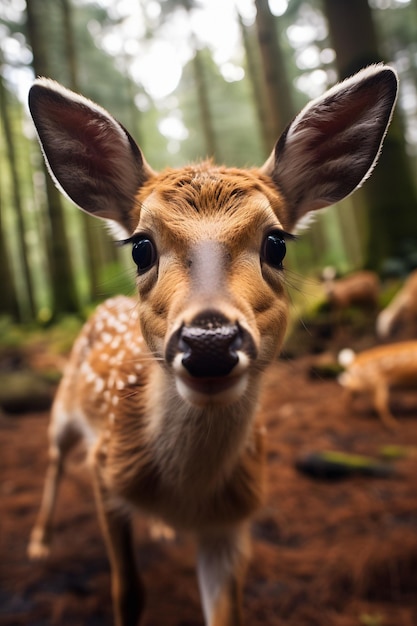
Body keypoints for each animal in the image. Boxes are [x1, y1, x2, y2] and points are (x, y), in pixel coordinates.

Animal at [26, 64, 396, 624]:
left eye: (276, 243)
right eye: (140, 247)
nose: (209, 342)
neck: (188, 494)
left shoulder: (231, 524)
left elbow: (226, 611)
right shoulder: (104, 470)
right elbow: (127, 591)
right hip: (65, 411)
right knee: (51, 460)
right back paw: (40, 542)